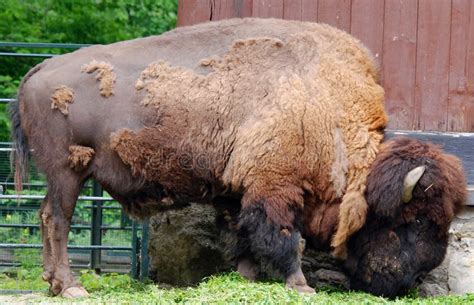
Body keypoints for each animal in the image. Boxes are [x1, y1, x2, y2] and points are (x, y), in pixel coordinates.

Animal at [11, 19, 466, 296]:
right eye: (414, 220)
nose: (419, 277)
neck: (326, 104)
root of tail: (38, 71)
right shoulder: (275, 186)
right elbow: (284, 237)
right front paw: (301, 286)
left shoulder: (237, 190)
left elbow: (241, 235)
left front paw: (246, 277)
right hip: (69, 170)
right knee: (58, 219)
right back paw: (71, 286)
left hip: (62, 174)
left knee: (45, 215)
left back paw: (52, 282)